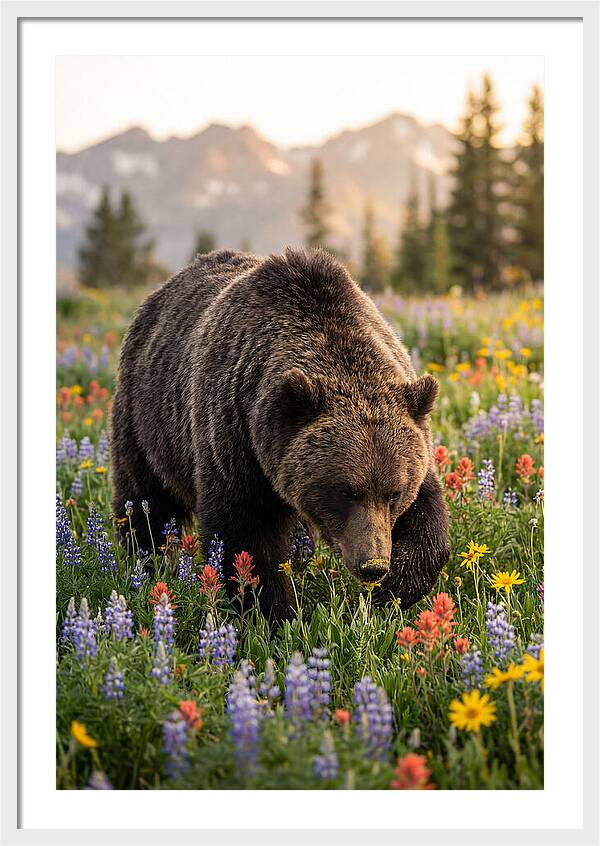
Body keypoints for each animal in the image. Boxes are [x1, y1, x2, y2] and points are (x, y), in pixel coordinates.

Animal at [110, 248, 449, 619]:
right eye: (346, 491)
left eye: (394, 493)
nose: (372, 565)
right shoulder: (235, 437)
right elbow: (245, 536)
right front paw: (273, 613)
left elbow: (427, 517)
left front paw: (394, 590)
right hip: (147, 420)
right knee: (145, 499)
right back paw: (141, 561)